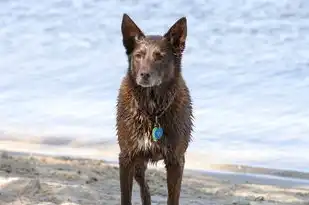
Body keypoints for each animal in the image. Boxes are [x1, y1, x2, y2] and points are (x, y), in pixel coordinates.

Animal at [115, 13, 192, 204]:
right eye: (138, 55)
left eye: (160, 57)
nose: (144, 75)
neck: (152, 109)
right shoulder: (126, 157)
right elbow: (125, 197)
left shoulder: (176, 161)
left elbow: (173, 198)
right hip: (137, 163)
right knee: (144, 185)